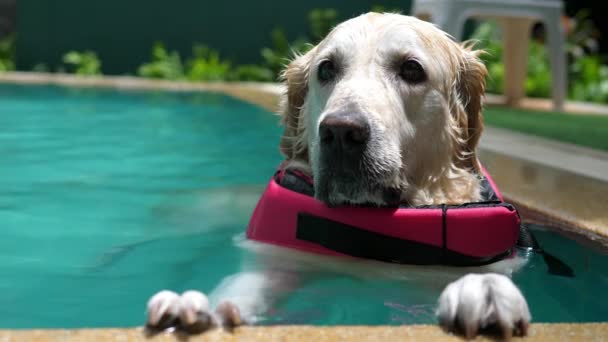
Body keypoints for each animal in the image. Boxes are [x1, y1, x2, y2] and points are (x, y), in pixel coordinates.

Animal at [145, 12, 528, 340]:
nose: (341, 132)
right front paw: (198, 310)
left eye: (411, 69)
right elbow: (245, 287)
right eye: (327, 69)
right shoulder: (278, 261)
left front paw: (484, 289)